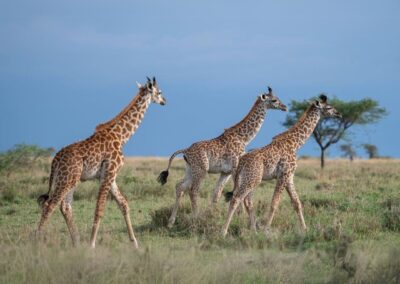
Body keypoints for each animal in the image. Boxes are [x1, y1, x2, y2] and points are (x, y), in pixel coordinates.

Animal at [36, 76, 166, 247]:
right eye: (159, 92)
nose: (165, 101)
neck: (122, 136)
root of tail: (55, 160)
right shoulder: (109, 172)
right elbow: (99, 209)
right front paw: (92, 244)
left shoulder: (109, 175)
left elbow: (124, 204)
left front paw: (135, 243)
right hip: (67, 179)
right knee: (49, 205)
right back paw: (36, 240)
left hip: (69, 179)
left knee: (65, 206)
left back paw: (76, 242)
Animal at [157, 85, 288, 227]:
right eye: (274, 100)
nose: (285, 107)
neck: (243, 138)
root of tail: (186, 151)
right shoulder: (236, 167)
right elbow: (236, 192)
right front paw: (240, 218)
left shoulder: (226, 172)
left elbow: (217, 194)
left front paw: (211, 215)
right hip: (201, 170)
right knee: (193, 190)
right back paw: (196, 218)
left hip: (190, 170)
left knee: (180, 187)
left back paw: (171, 222)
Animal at [222, 94, 340, 236]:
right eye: (328, 107)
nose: (339, 114)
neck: (296, 143)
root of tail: (240, 164)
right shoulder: (283, 174)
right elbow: (274, 203)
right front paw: (266, 229)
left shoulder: (289, 177)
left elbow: (296, 202)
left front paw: (305, 229)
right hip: (252, 180)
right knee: (236, 199)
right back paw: (223, 232)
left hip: (248, 179)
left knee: (247, 201)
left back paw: (253, 231)